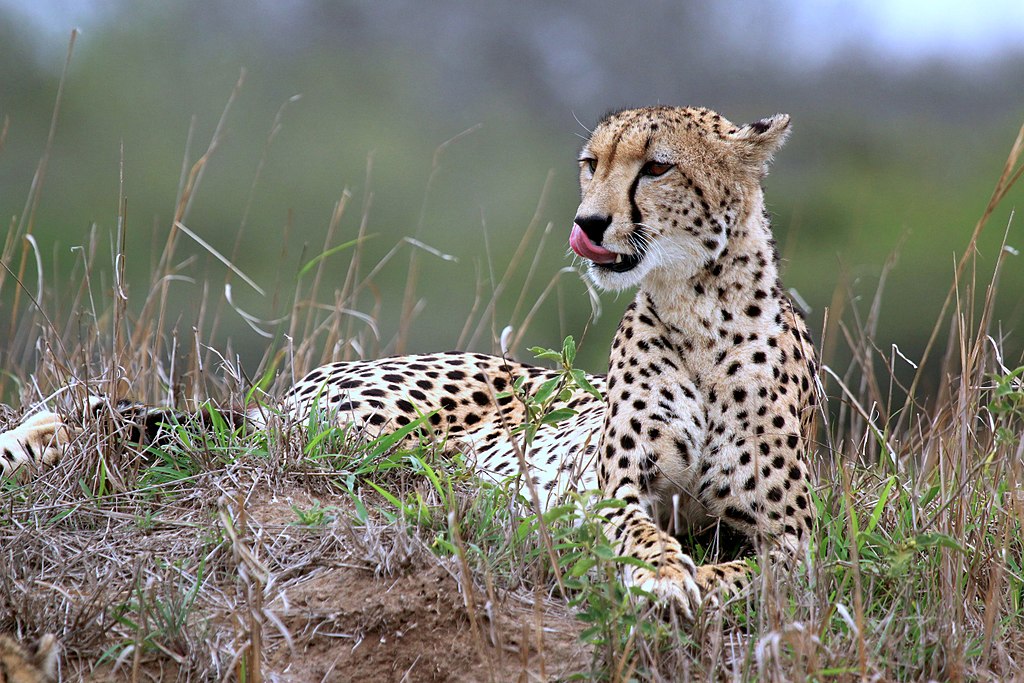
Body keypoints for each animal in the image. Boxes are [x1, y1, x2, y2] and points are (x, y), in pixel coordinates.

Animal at [0, 106, 817, 619]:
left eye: (656, 168)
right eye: (592, 164)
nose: (588, 222)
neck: (697, 309)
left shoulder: (794, 541)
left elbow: (756, 577)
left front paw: (693, 580)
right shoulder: (612, 490)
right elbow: (644, 532)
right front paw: (662, 573)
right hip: (359, 431)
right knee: (203, 429)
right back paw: (39, 437)